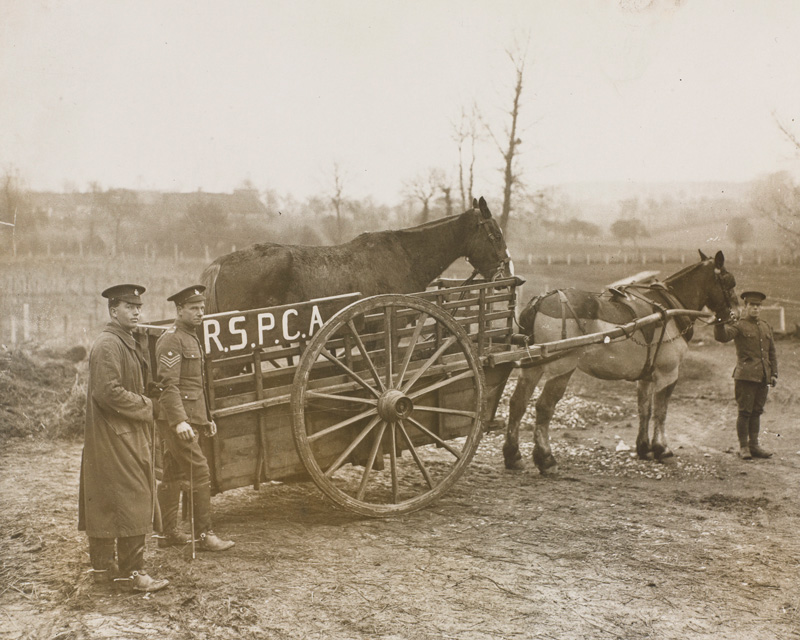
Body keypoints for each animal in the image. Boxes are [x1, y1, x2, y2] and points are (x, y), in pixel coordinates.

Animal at [506, 250, 736, 476]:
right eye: (729, 282)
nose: (733, 317)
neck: (670, 308)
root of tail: (539, 301)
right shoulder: (668, 373)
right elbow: (661, 411)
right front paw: (663, 449)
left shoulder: (646, 377)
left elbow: (645, 410)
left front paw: (644, 448)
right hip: (562, 367)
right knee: (544, 406)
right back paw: (546, 460)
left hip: (532, 366)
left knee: (518, 402)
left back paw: (513, 455)